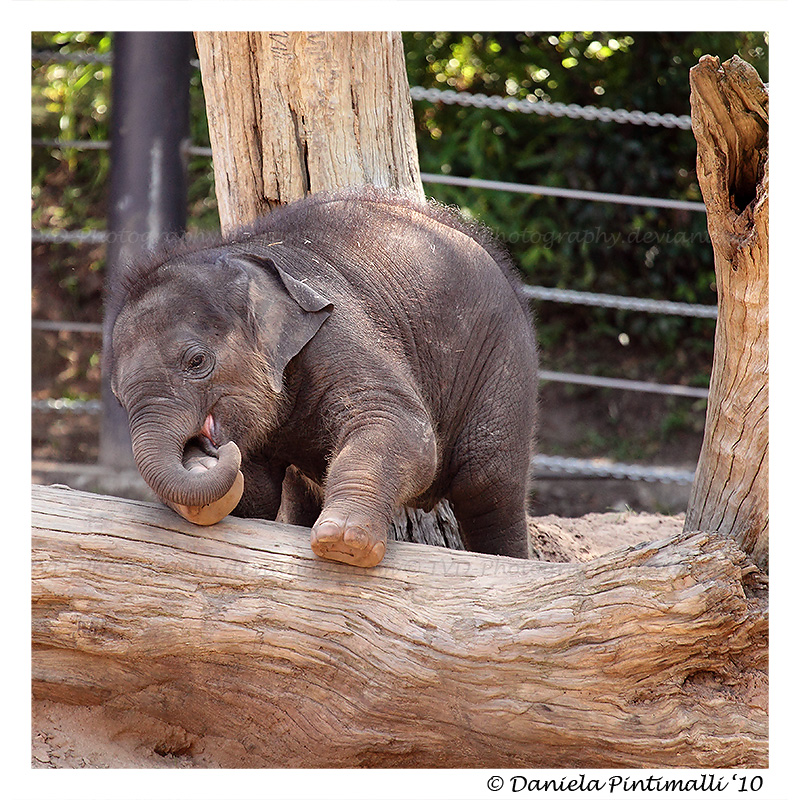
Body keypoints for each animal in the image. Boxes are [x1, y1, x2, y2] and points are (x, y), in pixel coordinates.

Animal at [108, 189, 536, 568]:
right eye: (118, 397)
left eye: (196, 361)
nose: (205, 450)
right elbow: (257, 496)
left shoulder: (336, 330)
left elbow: (402, 426)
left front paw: (344, 543)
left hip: (502, 366)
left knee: (488, 488)